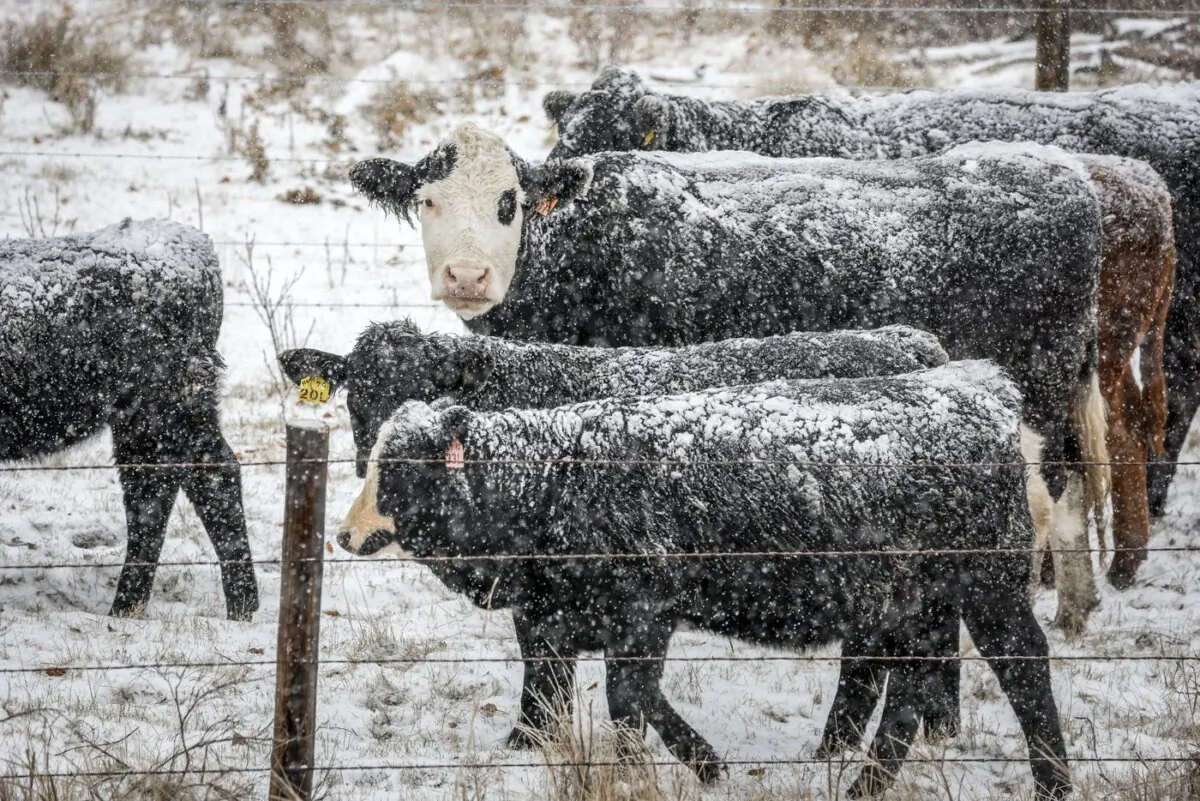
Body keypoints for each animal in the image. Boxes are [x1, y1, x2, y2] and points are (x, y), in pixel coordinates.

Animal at [348, 124, 1107, 633]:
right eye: (428, 202)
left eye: (509, 202)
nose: (467, 275)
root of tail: (1057, 168)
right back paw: (1076, 605)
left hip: (1039, 380)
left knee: (1052, 487)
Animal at [354, 361, 1071, 800]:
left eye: (401, 468)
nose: (344, 534)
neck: (557, 473)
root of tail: (984, 392)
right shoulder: (567, 617)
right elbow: (580, 694)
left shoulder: (641, 609)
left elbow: (629, 694)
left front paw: (690, 764)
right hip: (909, 604)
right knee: (905, 693)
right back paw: (856, 779)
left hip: (986, 586)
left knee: (1021, 665)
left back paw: (1053, 781)